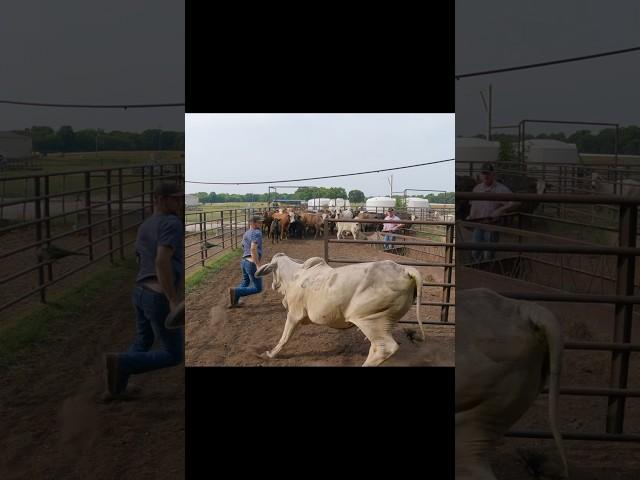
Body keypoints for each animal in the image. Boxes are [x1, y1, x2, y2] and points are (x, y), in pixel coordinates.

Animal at [255, 253, 424, 366]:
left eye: (272, 270)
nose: (273, 285)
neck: (295, 276)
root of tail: (405, 270)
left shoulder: (294, 314)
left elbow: (284, 337)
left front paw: (270, 353)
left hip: (369, 319)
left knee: (385, 348)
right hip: (382, 322)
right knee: (376, 347)